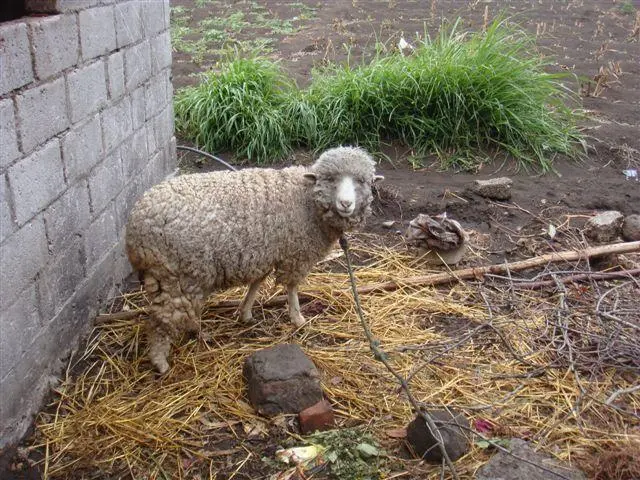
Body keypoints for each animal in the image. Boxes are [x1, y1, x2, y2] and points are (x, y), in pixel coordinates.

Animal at [125, 146, 384, 373]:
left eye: (362, 181)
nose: (346, 204)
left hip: (177, 275)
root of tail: (136, 224)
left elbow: (258, 281)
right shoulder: (296, 253)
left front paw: (246, 312)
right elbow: (292, 287)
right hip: (176, 273)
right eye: (330, 179)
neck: (306, 199)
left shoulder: (264, 251)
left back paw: (195, 332)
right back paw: (160, 361)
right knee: (161, 319)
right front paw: (297, 318)